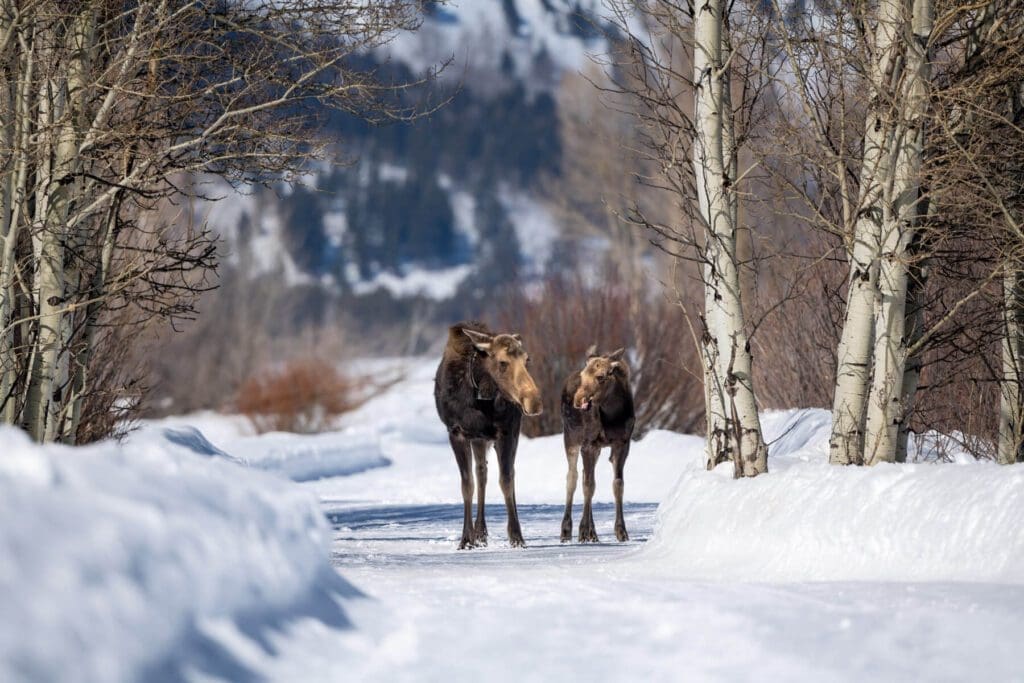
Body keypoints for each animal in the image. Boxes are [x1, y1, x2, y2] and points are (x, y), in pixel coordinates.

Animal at [434, 321, 544, 548]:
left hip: (490, 437)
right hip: (478, 438)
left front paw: (516, 537)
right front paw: (466, 539)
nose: (534, 402)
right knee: (481, 474)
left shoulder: (507, 431)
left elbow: (506, 480)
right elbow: (467, 484)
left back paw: (484, 532)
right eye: (502, 362)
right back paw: (479, 533)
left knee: (503, 473)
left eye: (527, 359)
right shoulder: (456, 432)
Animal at [561, 348, 630, 544]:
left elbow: (618, 484)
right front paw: (583, 530)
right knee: (573, 478)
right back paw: (567, 530)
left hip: (597, 449)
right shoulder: (588, 444)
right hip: (571, 439)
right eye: (583, 375)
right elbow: (588, 486)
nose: (578, 400)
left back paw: (593, 533)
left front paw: (621, 531)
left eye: (601, 376)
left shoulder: (622, 443)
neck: (612, 413)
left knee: (585, 475)